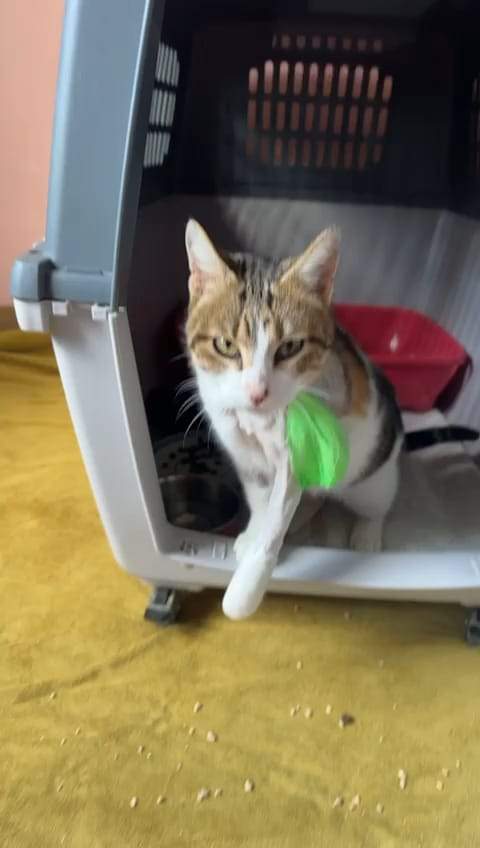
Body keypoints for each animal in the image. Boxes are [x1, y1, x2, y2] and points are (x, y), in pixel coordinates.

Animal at [184, 219, 403, 620]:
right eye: (225, 345)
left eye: (290, 347)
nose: (257, 392)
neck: (257, 421)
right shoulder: (243, 451)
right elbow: (260, 501)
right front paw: (252, 532)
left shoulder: (302, 454)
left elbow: (275, 520)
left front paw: (244, 592)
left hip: (373, 478)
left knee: (377, 503)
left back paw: (366, 533)